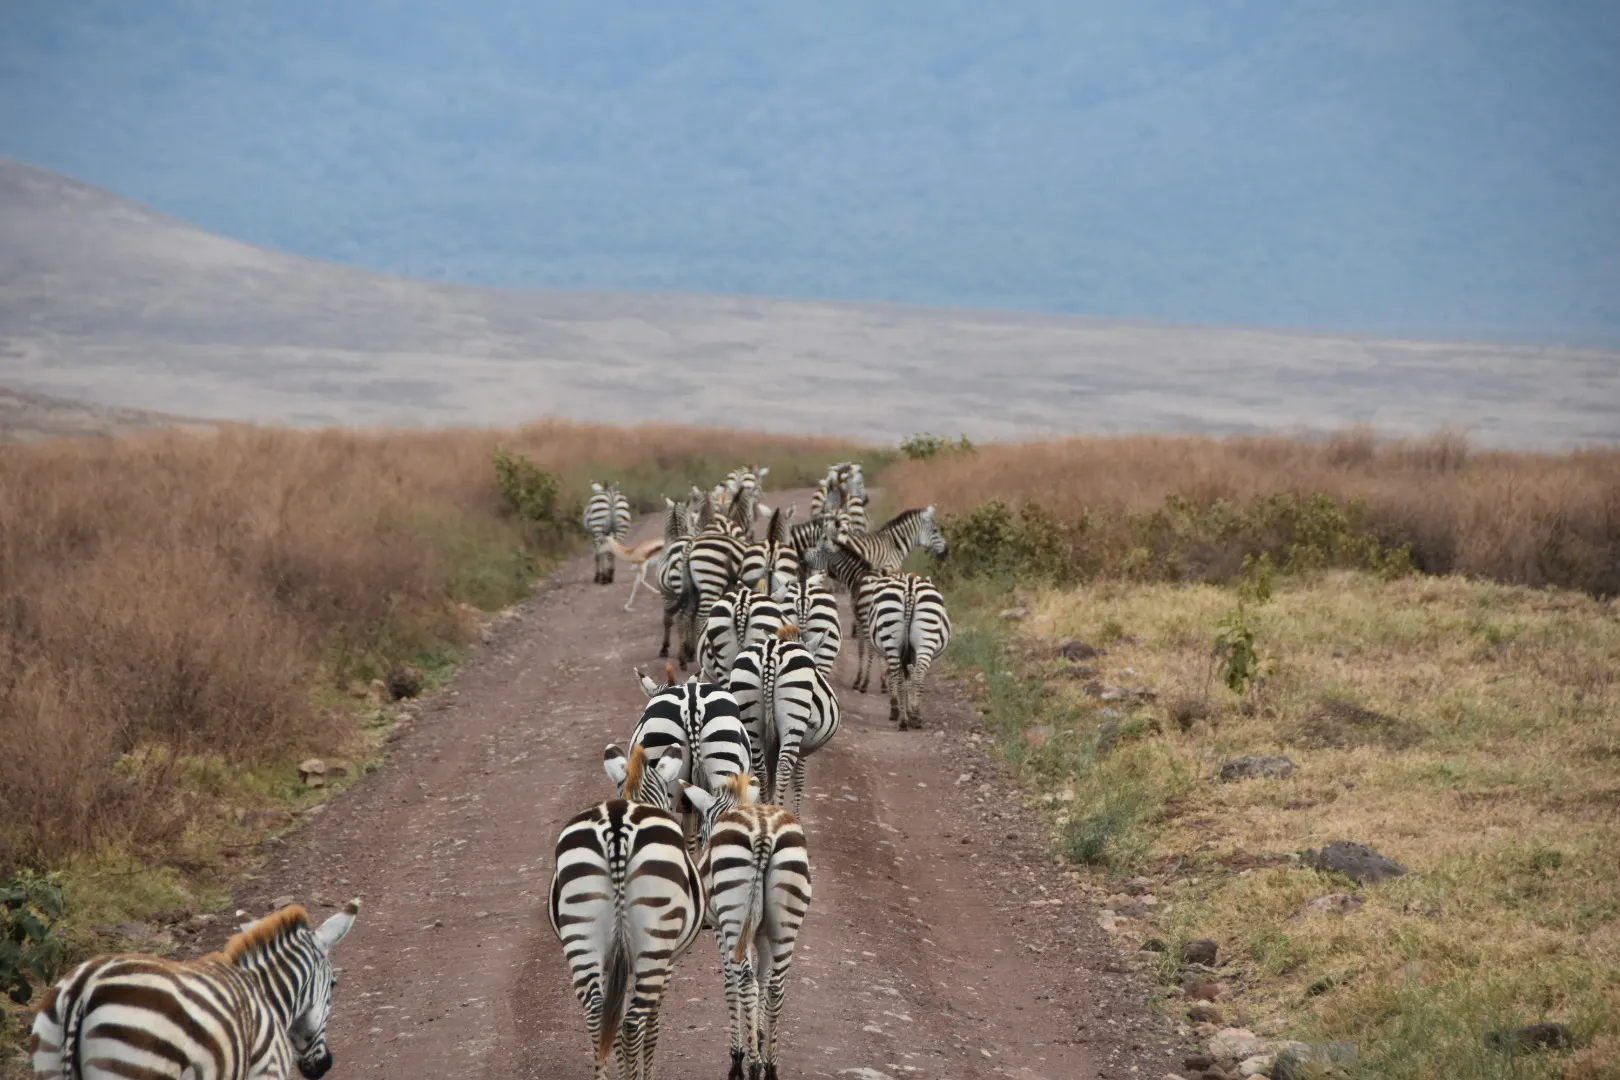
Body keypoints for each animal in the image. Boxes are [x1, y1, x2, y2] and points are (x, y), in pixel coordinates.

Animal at [30, 899, 359, 1080]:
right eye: (333, 984)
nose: (323, 1066)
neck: (267, 994)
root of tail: (83, 988)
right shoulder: (268, 1070)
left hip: (49, 1061)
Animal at [551, 746, 704, 1080]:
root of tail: (617, 825)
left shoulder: (612, 962)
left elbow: (615, 1018)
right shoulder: (667, 963)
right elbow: (651, 1027)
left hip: (581, 933)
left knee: (597, 1014)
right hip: (655, 941)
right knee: (635, 1024)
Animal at [680, 775, 812, 1080]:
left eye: (703, 834)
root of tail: (764, 831)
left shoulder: (720, 930)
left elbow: (731, 985)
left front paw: (739, 1055)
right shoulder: (762, 933)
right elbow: (764, 978)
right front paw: (760, 1038)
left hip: (733, 916)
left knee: (745, 983)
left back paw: (750, 1066)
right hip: (786, 921)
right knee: (775, 988)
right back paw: (770, 1068)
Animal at [728, 624, 840, 815]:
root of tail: (771, 652)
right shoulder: (803, 748)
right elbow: (799, 781)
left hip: (749, 711)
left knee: (761, 770)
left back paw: (765, 808)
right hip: (794, 720)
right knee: (783, 769)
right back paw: (777, 810)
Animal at [867, 573, 952, 730]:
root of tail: (910, 584)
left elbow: (904, 678)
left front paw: (900, 709)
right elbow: (909, 679)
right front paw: (909, 710)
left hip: (895, 640)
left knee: (899, 676)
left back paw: (903, 719)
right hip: (924, 640)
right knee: (916, 674)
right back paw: (913, 717)